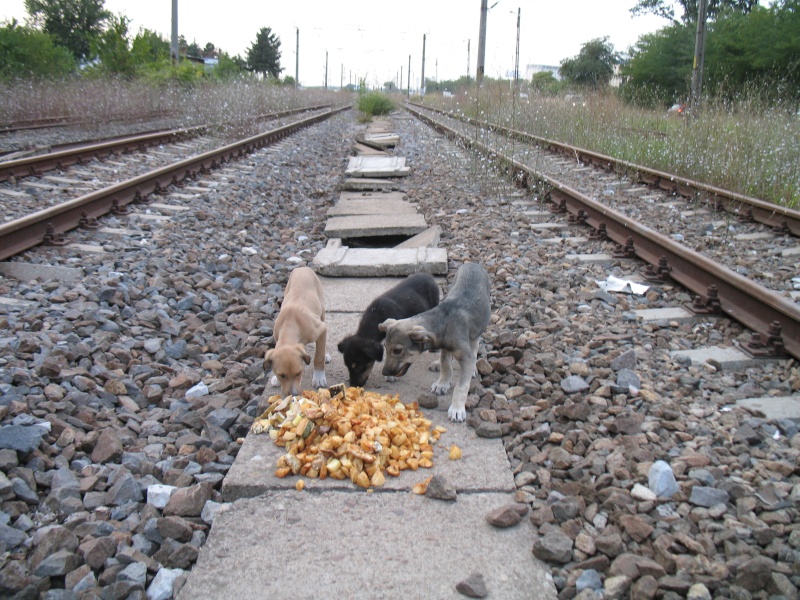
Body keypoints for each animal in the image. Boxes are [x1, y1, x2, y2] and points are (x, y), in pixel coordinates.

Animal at [378, 262, 490, 422]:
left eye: (398, 350)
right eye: (385, 347)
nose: (385, 372)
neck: (443, 322)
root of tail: (472, 263)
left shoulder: (466, 357)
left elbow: (461, 386)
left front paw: (457, 409)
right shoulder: (444, 347)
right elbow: (445, 364)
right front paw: (442, 383)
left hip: (477, 331)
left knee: (475, 347)